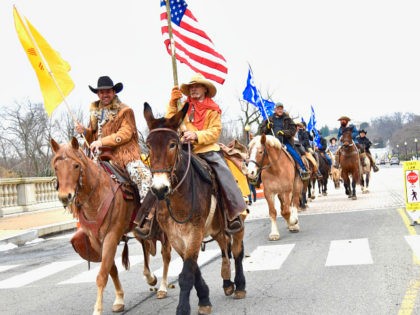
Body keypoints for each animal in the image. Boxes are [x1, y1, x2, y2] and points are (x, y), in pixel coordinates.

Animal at [50, 138, 171, 315]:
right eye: (56, 167)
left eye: (76, 165)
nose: (65, 196)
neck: (97, 194)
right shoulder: (96, 241)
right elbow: (111, 269)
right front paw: (119, 299)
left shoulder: (111, 236)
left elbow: (102, 275)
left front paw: (97, 309)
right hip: (137, 229)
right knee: (145, 246)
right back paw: (150, 277)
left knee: (166, 254)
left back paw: (163, 287)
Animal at [143, 103, 246, 315]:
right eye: (148, 145)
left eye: (172, 144)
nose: (159, 189)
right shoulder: (175, 236)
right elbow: (192, 268)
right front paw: (204, 298)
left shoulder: (195, 231)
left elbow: (186, 274)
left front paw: (184, 308)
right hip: (215, 228)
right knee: (224, 245)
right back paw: (227, 283)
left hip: (237, 221)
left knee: (237, 251)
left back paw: (239, 285)